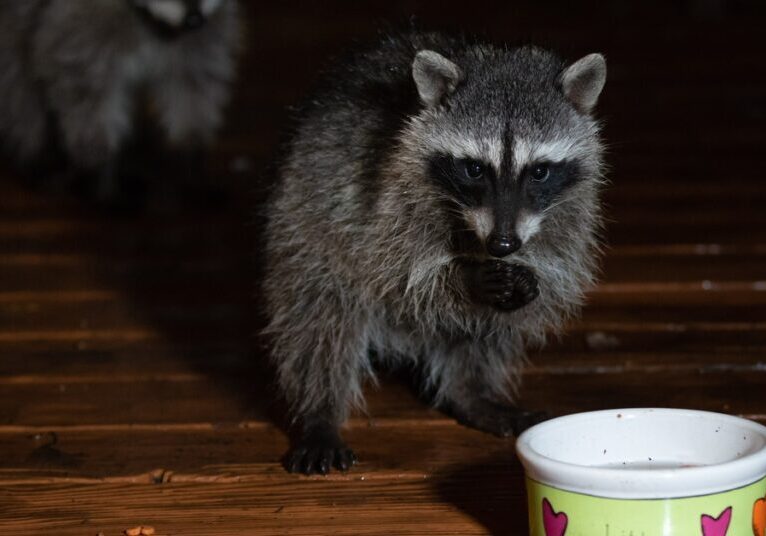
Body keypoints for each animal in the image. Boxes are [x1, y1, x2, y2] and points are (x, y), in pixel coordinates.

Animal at [0, 0, 241, 203]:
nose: (194, 19)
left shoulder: (204, 32)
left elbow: (194, 81)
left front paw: (190, 150)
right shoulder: (77, 21)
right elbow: (82, 84)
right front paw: (100, 165)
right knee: (17, 78)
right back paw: (35, 151)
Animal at [263, 31, 607, 475]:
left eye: (539, 171)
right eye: (474, 169)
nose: (503, 246)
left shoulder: (572, 206)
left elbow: (557, 265)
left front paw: (532, 278)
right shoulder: (384, 189)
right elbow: (394, 274)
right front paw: (466, 279)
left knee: (482, 334)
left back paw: (472, 392)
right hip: (304, 217)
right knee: (321, 314)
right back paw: (319, 411)